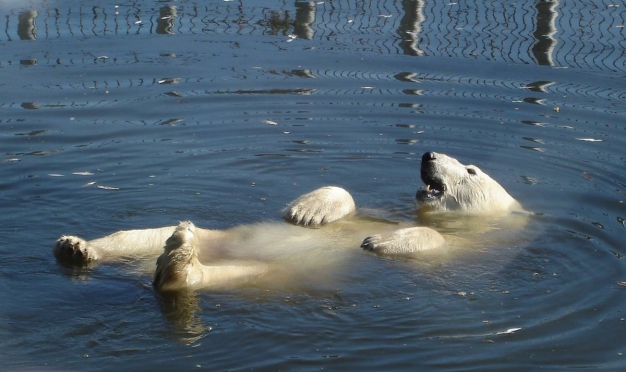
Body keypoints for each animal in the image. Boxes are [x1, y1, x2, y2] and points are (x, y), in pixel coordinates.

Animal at [54, 150, 520, 290]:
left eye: (472, 170)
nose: (428, 155)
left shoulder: (474, 250)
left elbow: (437, 245)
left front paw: (380, 242)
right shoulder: (390, 207)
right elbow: (350, 204)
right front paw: (308, 210)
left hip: (273, 272)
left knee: (241, 272)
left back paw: (179, 266)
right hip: (221, 235)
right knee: (149, 233)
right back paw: (77, 247)